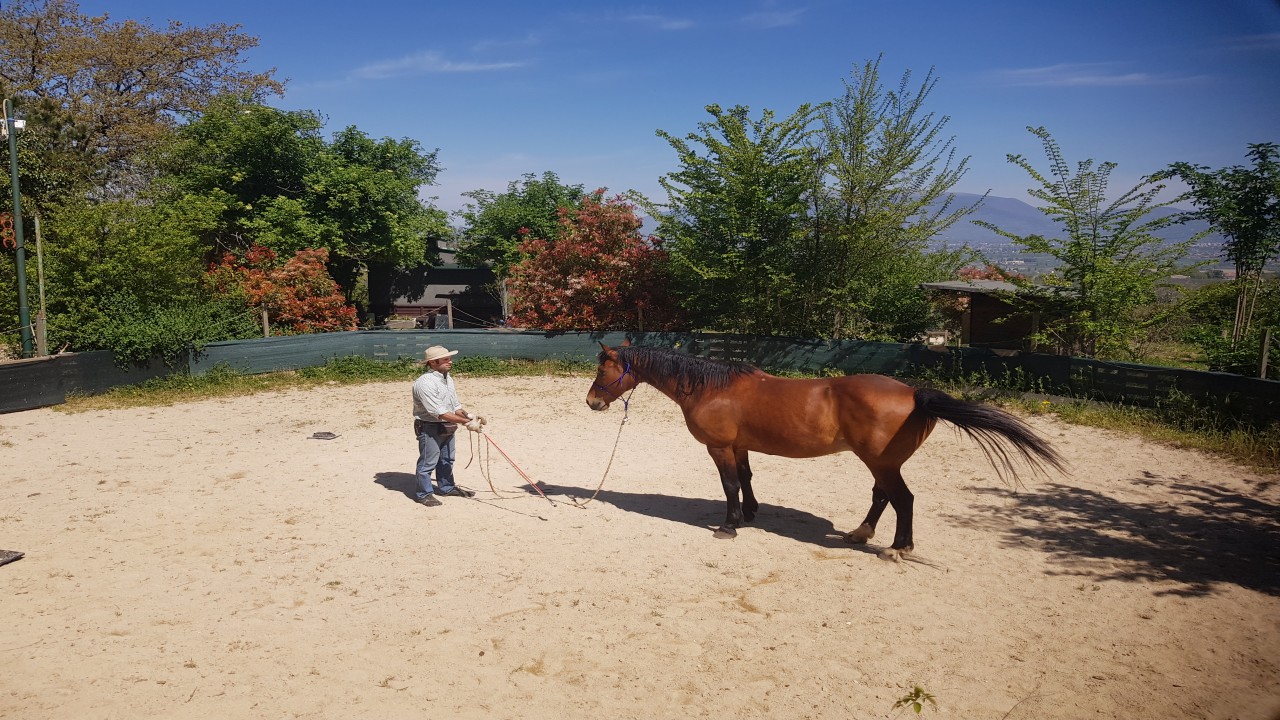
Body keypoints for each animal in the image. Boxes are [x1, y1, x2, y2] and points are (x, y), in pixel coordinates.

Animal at [586, 343, 1064, 561]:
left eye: (603, 369)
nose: (591, 402)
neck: (712, 388)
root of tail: (914, 393)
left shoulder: (720, 447)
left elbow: (728, 485)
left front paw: (730, 525)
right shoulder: (740, 445)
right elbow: (746, 479)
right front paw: (751, 513)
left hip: (881, 461)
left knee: (903, 499)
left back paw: (897, 547)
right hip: (881, 462)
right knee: (883, 496)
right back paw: (861, 533)